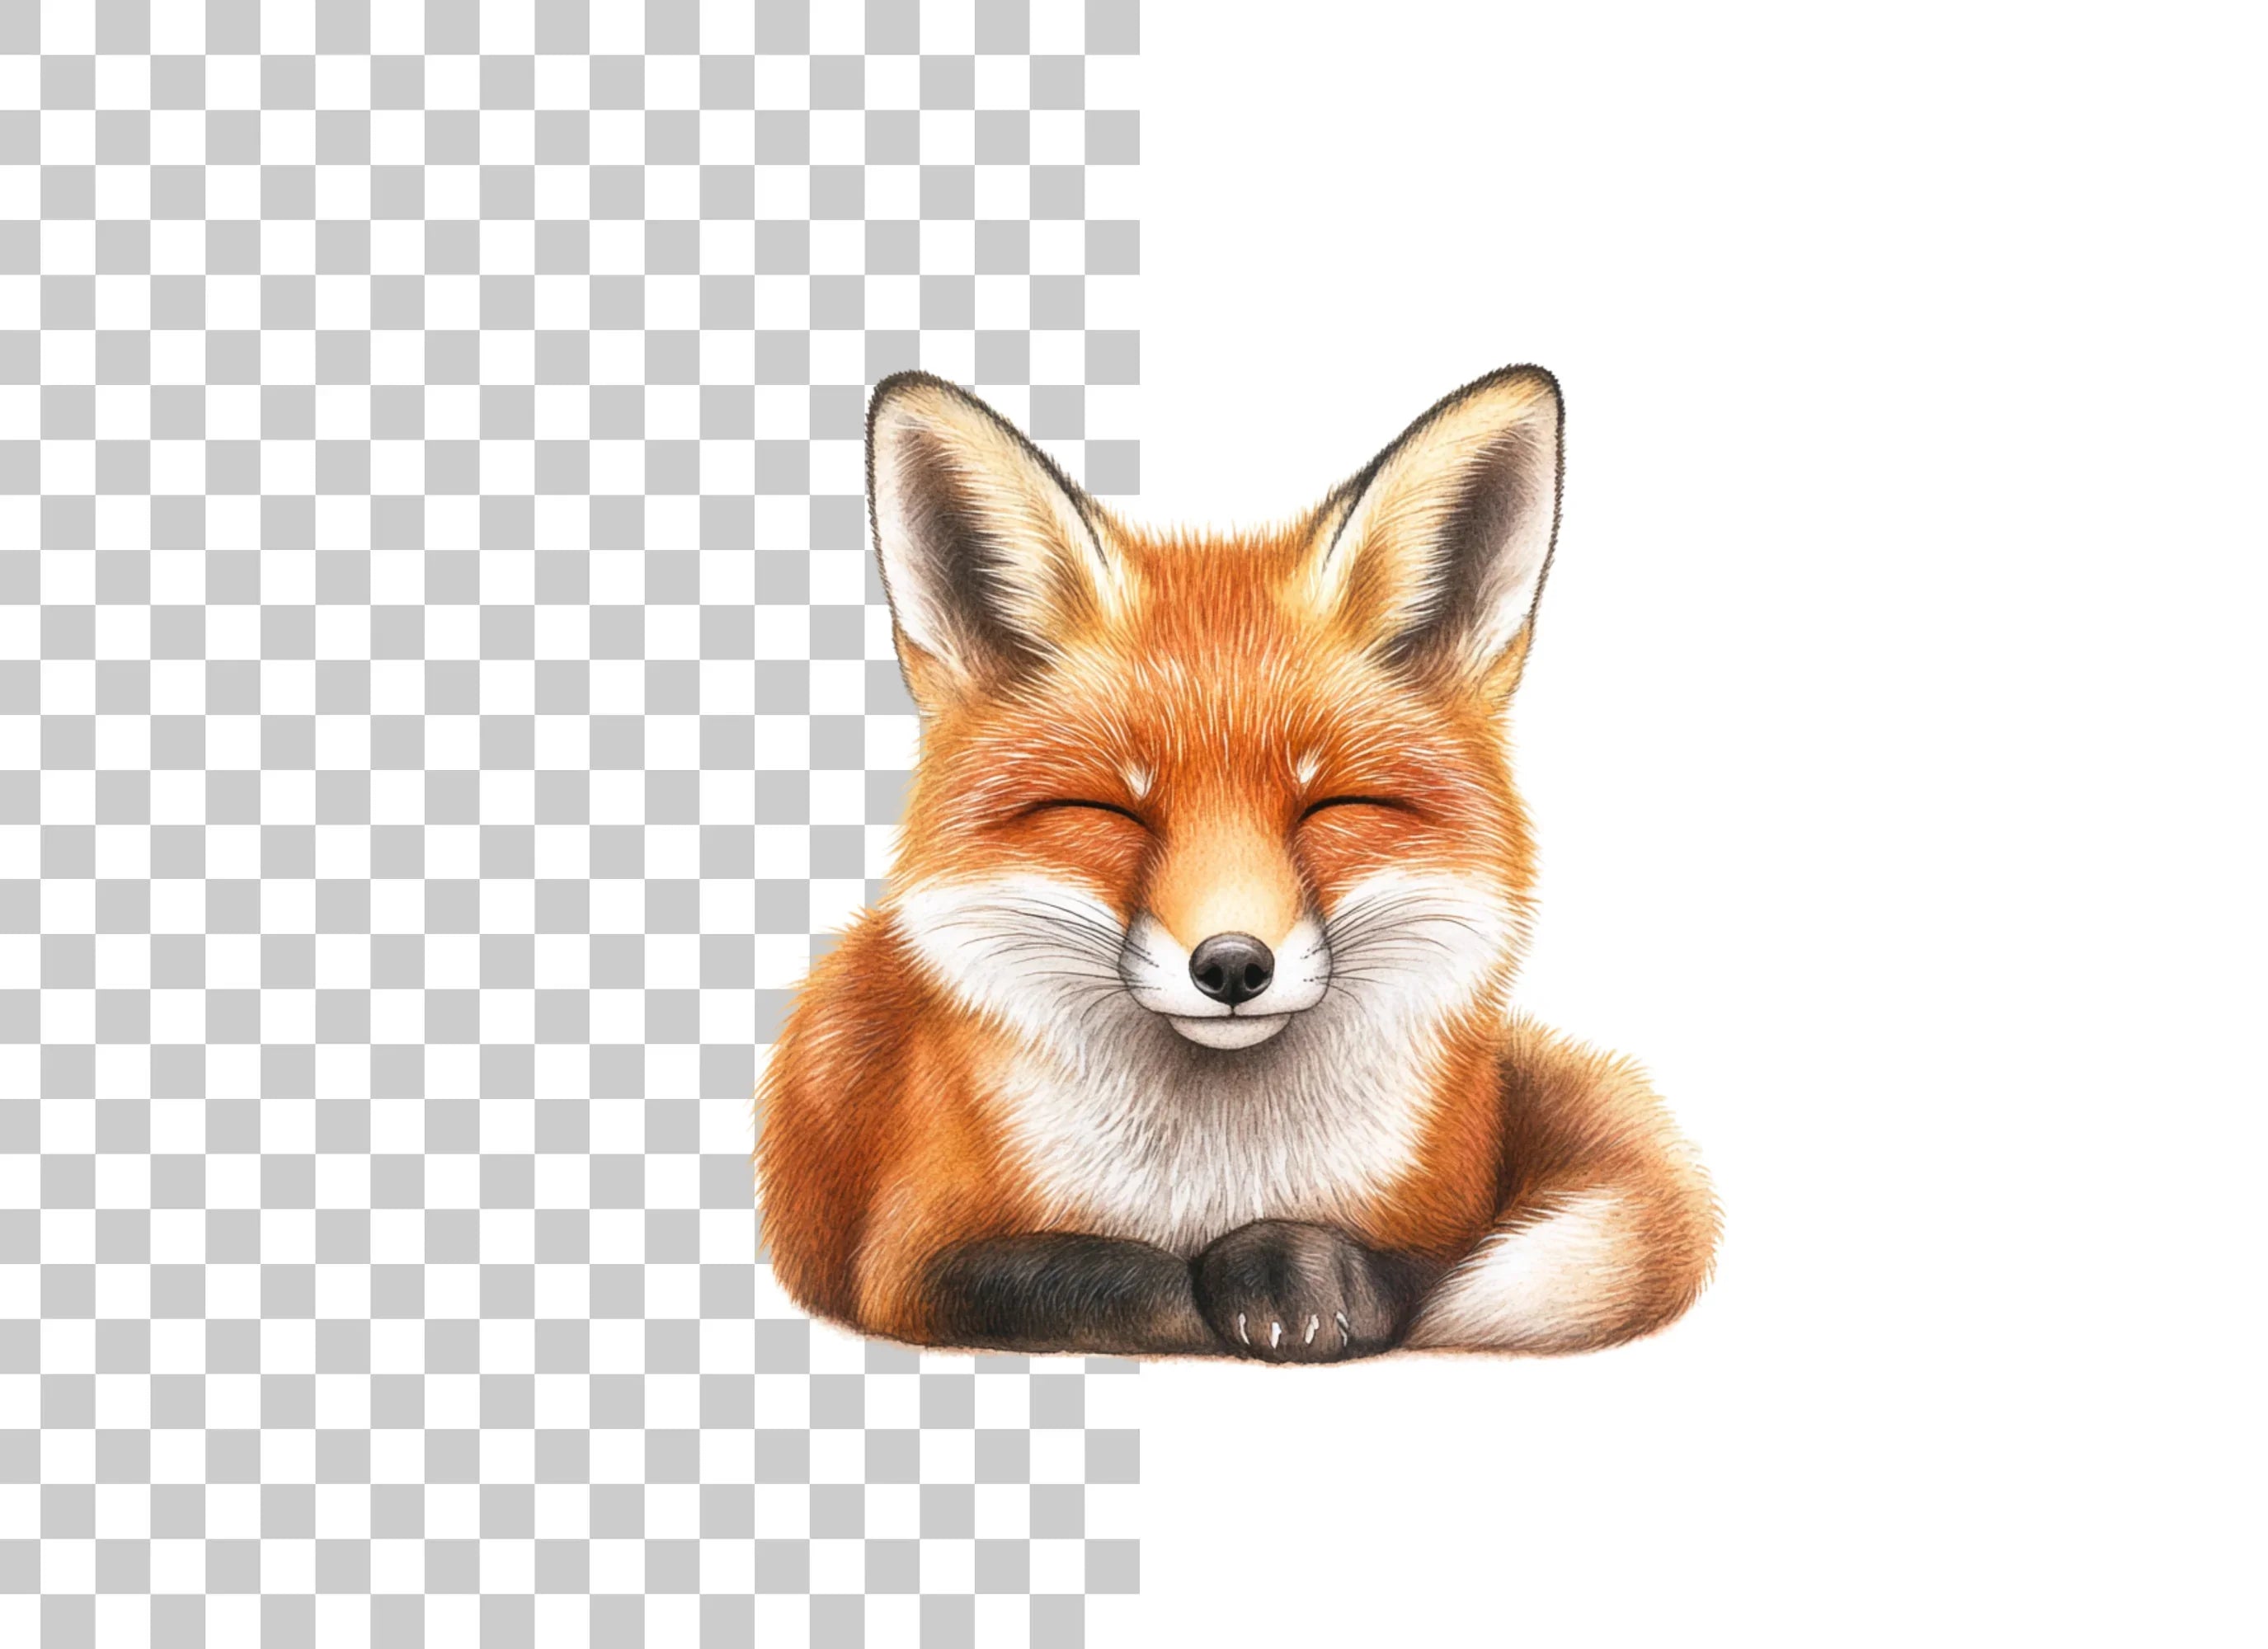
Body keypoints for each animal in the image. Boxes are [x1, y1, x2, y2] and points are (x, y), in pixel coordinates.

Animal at [755, 365, 1720, 1362]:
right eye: (1109, 810)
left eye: (1331, 807)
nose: (1229, 965)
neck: (1216, 1177)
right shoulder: (907, 1264)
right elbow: (1114, 1278)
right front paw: (1231, 1288)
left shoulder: (1449, 1218)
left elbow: (1418, 1276)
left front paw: (1305, 1273)